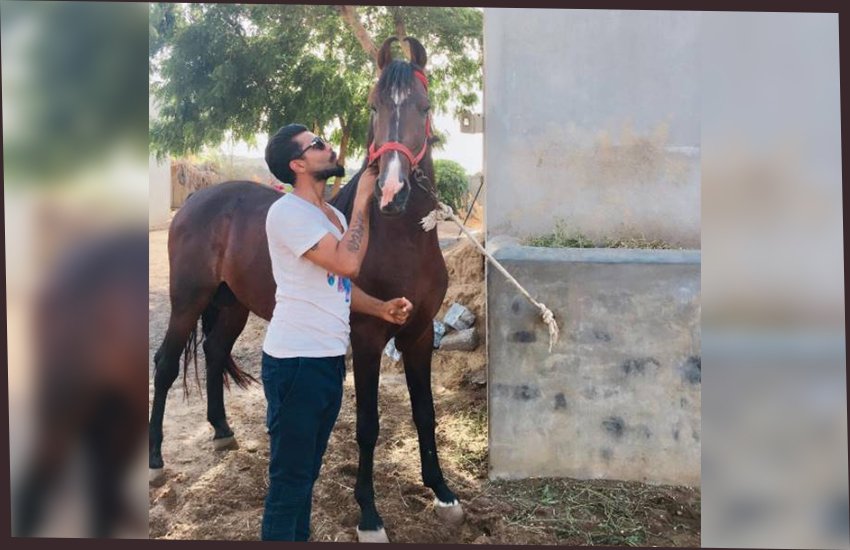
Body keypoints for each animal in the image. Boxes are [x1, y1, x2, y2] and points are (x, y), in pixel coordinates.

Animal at [148, 37, 463, 542]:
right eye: (373, 105)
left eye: (426, 106)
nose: (390, 193)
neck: (401, 241)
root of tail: (200, 196)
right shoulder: (368, 338)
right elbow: (368, 425)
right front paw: (369, 515)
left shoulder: (417, 336)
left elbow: (425, 413)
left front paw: (443, 493)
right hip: (187, 300)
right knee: (165, 364)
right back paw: (156, 460)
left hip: (231, 305)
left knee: (214, 353)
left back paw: (222, 432)